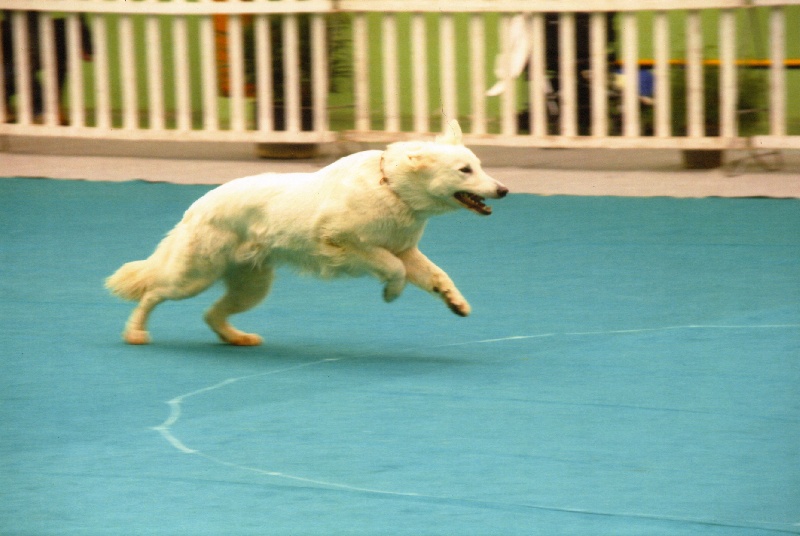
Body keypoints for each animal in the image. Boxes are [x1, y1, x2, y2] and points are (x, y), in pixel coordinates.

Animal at [106, 120, 510, 344]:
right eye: (464, 170)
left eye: (478, 166)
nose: (504, 190)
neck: (392, 189)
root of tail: (195, 207)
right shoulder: (344, 243)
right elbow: (392, 269)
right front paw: (391, 294)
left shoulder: (406, 251)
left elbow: (437, 275)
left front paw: (456, 302)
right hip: (194, 276)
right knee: (153, 293)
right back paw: (135, 334)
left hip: (251, 286)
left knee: (211, 314)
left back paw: (237, 339)